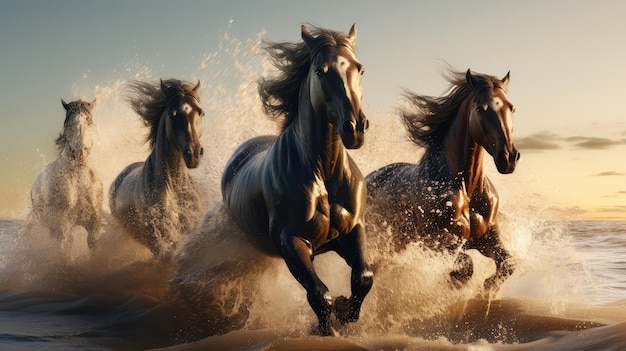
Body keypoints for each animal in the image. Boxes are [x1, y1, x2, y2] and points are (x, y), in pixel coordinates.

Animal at [31, 99, 102, 253]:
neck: (78, 180)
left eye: (88, 121)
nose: (79, 154)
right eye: (67, 123)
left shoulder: (94, 225)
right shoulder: (63, 228)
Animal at [221, 24, 370, 338]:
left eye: (359, 68)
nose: (355, 128)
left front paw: (345, 309)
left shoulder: (353, 229)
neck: (323, 173)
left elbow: (363, 277)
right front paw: (327, 328)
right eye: (320, 72)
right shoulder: (291, 241)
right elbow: (319, 294)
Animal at [366, 69, 516, 294]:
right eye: (481, 109)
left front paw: (488, 288)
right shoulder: (440, 243)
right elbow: (465, 267)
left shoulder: (487, 238)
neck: (466, 188)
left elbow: (508, 263)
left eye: (511, 107)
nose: (508, 158)